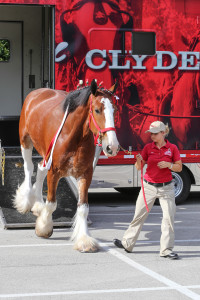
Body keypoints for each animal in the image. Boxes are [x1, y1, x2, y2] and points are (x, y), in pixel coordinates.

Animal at [13, 79, 119, 251]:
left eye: (114, 110)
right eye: (97, 110)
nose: (112, 147)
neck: (73, 136)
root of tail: (37, 92)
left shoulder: (85, 174)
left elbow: (83, 208)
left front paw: (84, 240)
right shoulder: (54, 172)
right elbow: (51, 203)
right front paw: (44, 228)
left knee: (40, 168)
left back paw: (38, 204)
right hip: (26, 141)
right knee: (29, 168)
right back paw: (26, 201)